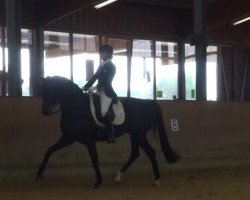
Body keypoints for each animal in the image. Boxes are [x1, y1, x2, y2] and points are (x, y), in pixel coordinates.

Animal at [35, 76, 180, 188]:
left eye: (49, 90)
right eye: (42, 90)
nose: (44, 112)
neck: (77, 107)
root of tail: (149, 103)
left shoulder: (89, 141)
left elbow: (94, 160)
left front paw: (98, 182)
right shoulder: (67, 138)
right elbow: (49, 151)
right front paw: (39, 173)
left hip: (138, 134)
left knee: (147, 152)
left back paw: (156, 179)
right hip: (135, 135)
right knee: (139, 153)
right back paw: (122, 176)